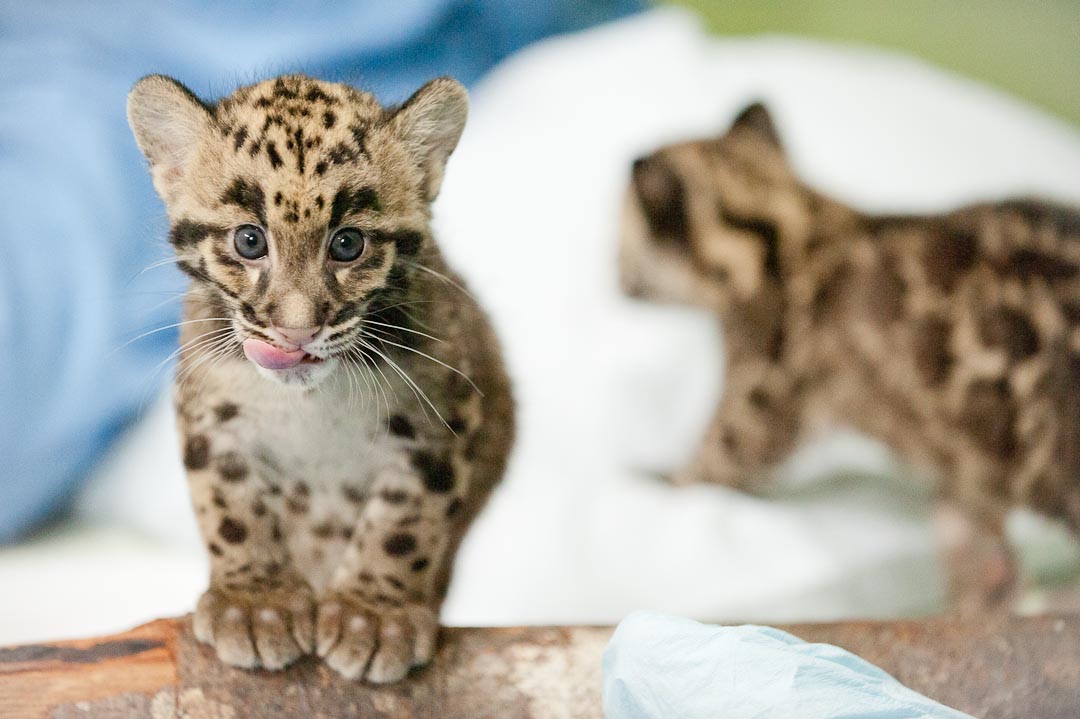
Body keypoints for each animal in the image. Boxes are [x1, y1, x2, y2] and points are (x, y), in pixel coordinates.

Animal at [127, 73, 513, 683]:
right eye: (249, 241)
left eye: (348, 244)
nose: (297, 330)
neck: (312, 405)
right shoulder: (211, 411)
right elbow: (231, 507)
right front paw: (254, 603)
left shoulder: (440, 419)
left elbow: (404, 522)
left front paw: (372, 615)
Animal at [619, 101, 1080, 614]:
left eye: (615, 241)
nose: (611, 281)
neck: (793, 226)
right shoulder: (970, 460)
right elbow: (961, 511)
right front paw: (984, 581)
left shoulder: (759, 399)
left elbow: (706, 466)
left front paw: (652, 476)